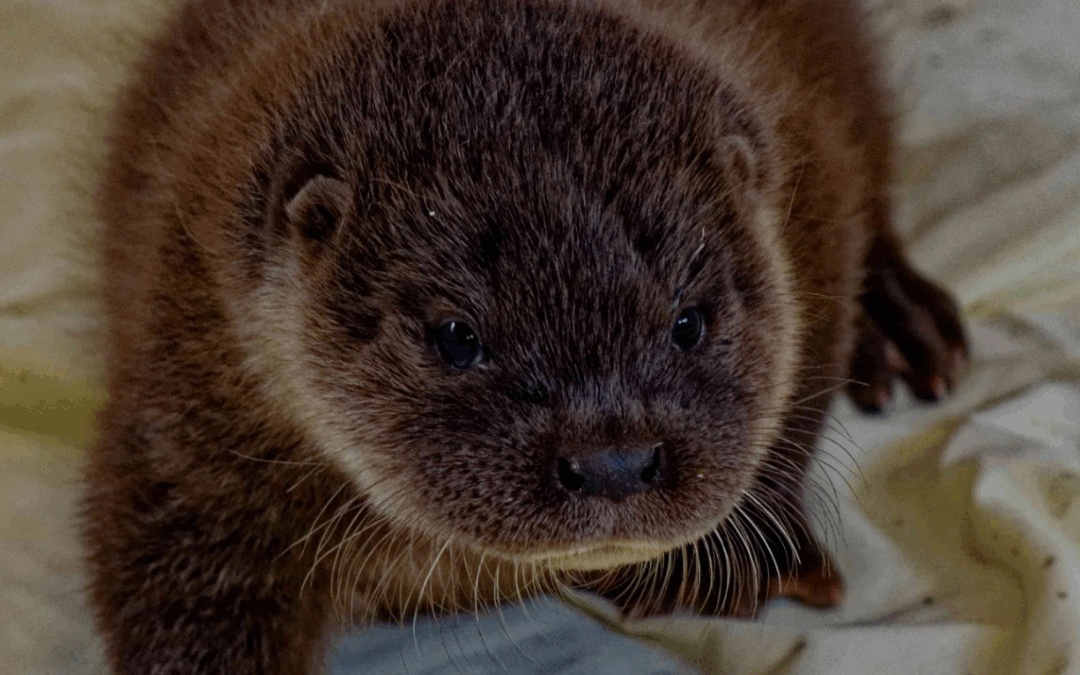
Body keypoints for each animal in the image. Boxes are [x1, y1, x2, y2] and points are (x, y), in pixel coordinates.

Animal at [83, 0, 967, 672]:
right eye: (456, 335)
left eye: (689, 321)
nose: (614, 462)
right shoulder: (189, 384)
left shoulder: (809, 164)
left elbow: (816, 338)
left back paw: (902, 326)